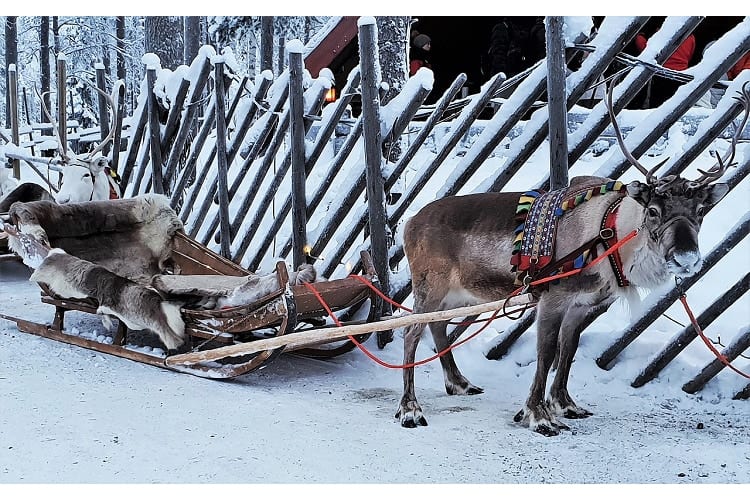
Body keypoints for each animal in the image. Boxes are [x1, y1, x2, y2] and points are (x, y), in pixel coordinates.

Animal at [396, 80, 747, 436]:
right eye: (653, 210)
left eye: (700, 211)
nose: (686, 258)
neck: (611, 233)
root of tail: (410, 223)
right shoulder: (554, 298)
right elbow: (547, 352)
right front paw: (538, 415)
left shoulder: (584, 305)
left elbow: (568, 351)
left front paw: (565, 404)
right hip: (430, 287)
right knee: (411, 333)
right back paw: (410, 409)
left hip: (460, 294)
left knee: (438, 327)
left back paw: (459, 382)